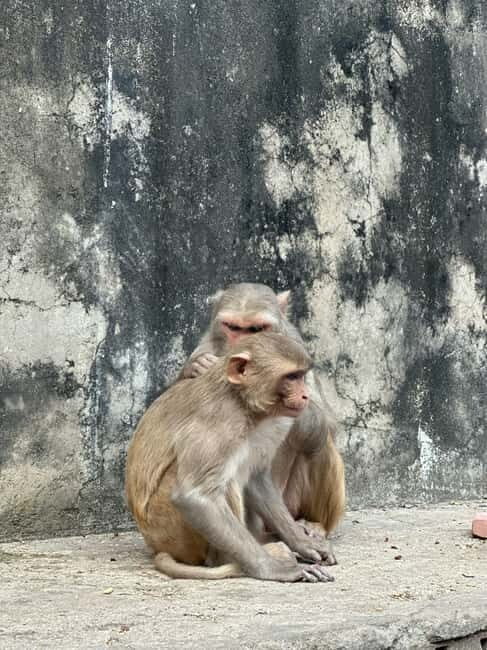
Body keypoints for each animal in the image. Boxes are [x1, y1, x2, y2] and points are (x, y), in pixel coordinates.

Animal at [125, 332, 335, 582]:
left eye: (301, 376)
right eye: (291, 377)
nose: (305, 395)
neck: (244, 403)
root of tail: (156, 546)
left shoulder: (277, 423)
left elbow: (256, 478)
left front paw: (302, 542)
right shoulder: (218, 423)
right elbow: (194, 496)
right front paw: (271, 567)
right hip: (172, 531)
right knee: (222, 483)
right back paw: (236, 559)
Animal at [179, 283, 346, 548]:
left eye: (257, 329)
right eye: (233, 327)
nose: (249, 347)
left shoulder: (296, 347)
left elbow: (325, 424)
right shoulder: (206, 347)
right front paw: (196, 367)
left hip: (289, 501)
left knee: (318, 443)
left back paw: (314, 525)